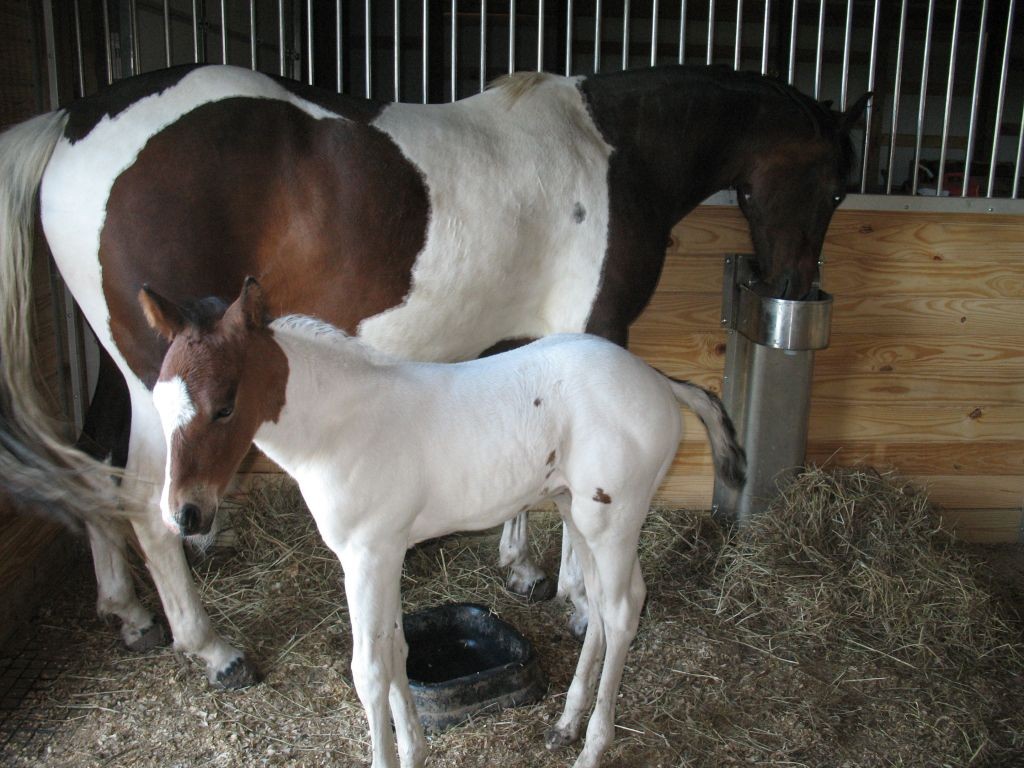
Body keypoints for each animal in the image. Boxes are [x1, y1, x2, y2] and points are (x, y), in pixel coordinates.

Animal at [0, 64, 868, 684]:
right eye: (833, 186)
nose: (795, 287)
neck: (611, 151)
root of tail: (73, 122)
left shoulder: (522, 338)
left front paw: (520, 569)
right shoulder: (593, 329)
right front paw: (576, 597)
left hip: (130, 366)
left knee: (94, 465)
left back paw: (128, 613)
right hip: (159, 376)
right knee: (147, 503)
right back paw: (211, 647)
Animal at [142, 278, 745, 768]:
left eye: (224, 406)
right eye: (158, 404)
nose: (185, 514)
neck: (341, 427)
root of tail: (659, 381)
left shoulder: (365, 557)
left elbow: (369, 669)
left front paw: (385, 757)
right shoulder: (385, 554)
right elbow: (396, 651)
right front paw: (414, 752)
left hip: (613, 519)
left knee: (622, 611)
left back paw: (593, 747)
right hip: (577, 511)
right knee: (598, 606)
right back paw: (566, 724)